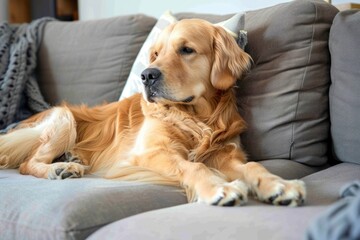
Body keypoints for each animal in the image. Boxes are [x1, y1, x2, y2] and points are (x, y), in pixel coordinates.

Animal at [0, 18, 306, 206]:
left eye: (186, 50)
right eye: (156, 54)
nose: (147, 75)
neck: (196, 117)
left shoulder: (224, 153)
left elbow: (252, 166)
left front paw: (279, 185)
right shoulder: (149, 153)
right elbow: (193, 165)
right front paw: (219, 188)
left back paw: (70, 159)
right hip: (63, 116)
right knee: (27, 163)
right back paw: (60, 168)